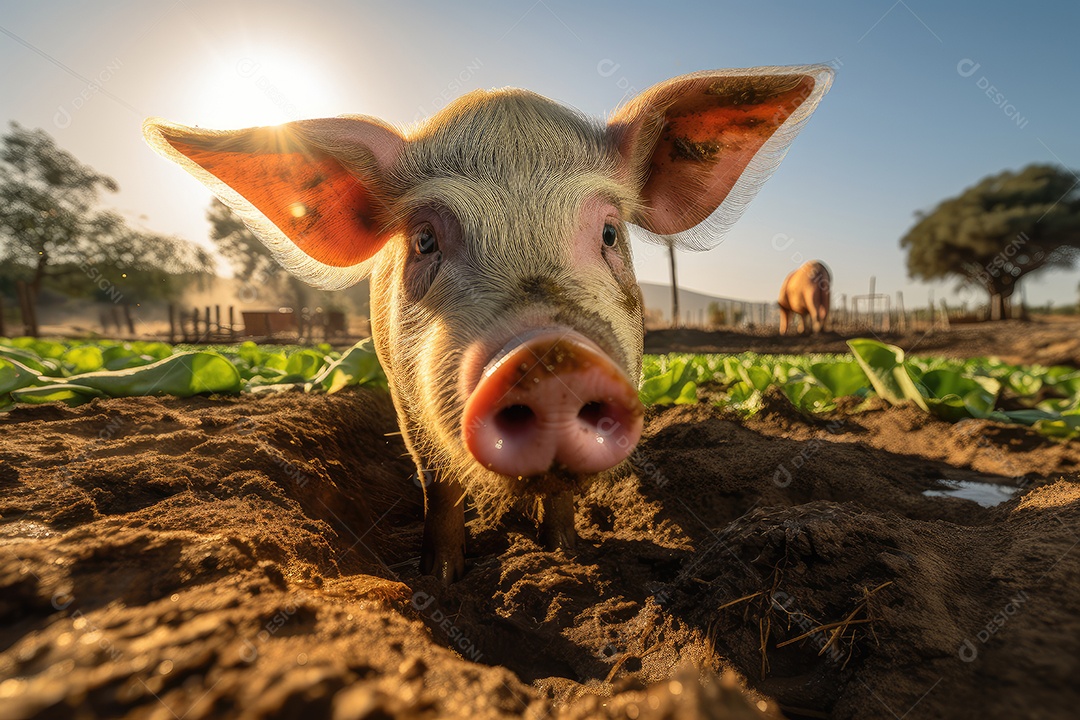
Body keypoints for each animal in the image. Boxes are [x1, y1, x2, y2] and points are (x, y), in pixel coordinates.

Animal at [143, 65, 832, 582]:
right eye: (424, 239)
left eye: (610, 233)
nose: (552, 356)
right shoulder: (404, 398)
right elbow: (440, 486)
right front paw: (441, 579)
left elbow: (561, 498)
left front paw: (565, 557)